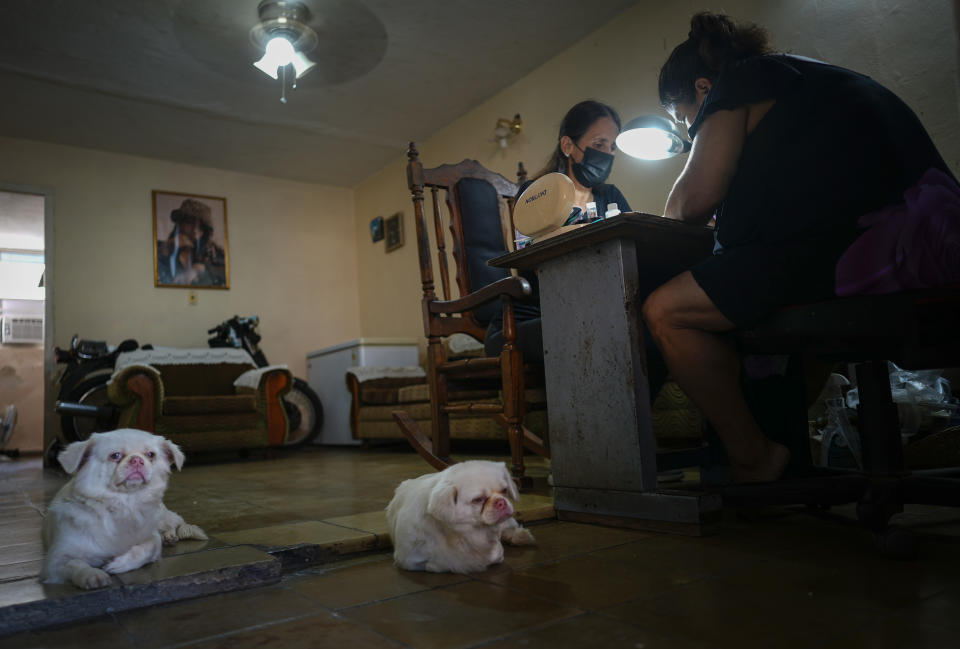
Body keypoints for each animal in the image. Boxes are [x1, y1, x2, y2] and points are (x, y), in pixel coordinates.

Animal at [42, 428, 207, 588]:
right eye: (115, 455)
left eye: (150, 455)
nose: (137, 459)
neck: (125, 504)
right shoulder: (55, 562)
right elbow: (75, 564)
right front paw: (92, 575)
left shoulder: (151, 536)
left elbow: (150, 546)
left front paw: (119, 564)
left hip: (161, 515)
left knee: (175, 523)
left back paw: (169, 535)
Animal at [384, 458, 532, 576]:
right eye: (478, 500)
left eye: (504, 491)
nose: (501, 502)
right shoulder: (408, 560)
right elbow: (440, 563)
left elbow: (496, 553)